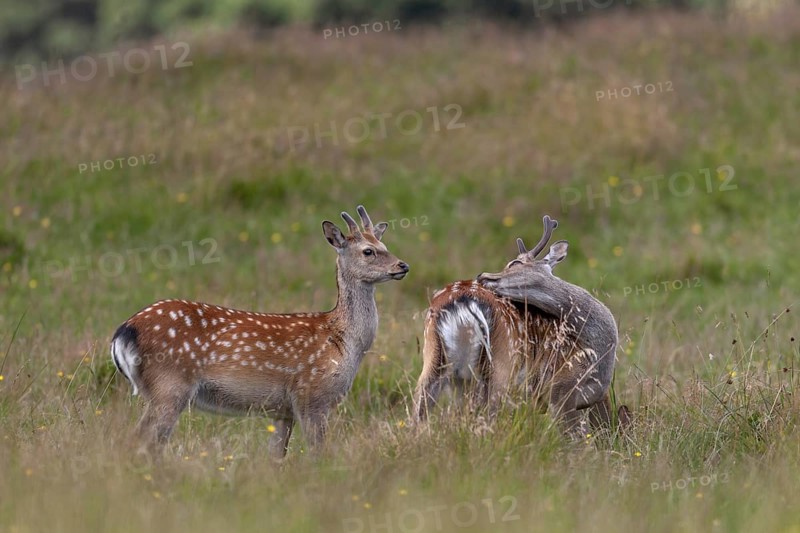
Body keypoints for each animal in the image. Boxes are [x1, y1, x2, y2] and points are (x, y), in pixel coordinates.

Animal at [110, 206, 409, 458]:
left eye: (385, 245)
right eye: (368, 251)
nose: (402, 265)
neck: (342, 341)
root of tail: (123, 333)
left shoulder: (283, 410)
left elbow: (276, 456)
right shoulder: (311, 394)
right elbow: (317, 453)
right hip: (170, 385)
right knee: (141, 440)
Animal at [413, 216, 621, 434]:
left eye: (515, 262)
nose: (482, 275)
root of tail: (463, 301)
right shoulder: (562, 389)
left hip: (435, 358)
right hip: (502, 365)